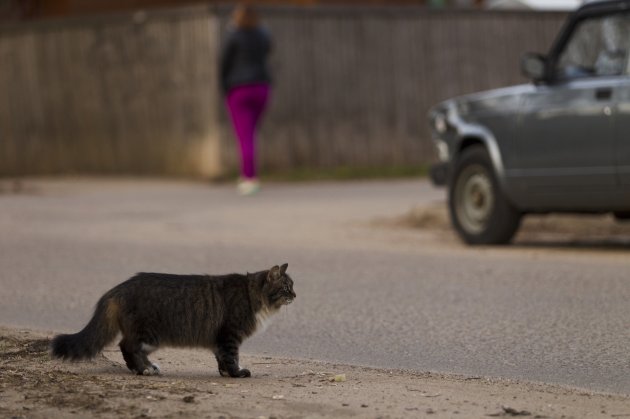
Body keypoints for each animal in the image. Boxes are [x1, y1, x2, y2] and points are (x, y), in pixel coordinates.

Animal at [50, 264, 296, 378]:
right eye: (286, 288)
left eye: (292, 286)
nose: (295, 295)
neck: (251, 294)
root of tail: (119, 288)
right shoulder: (230, 335)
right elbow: (231, 357)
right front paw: (236, 373)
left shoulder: (219, 339)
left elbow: (221, 358)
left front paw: (226, 372)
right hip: (150, 334)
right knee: (127, 346)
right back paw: (144, 370)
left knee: (130, 349)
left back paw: (147, 367)